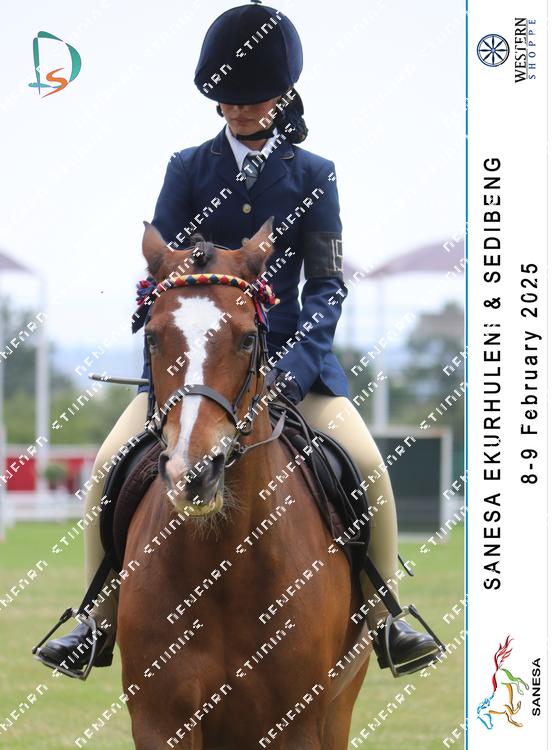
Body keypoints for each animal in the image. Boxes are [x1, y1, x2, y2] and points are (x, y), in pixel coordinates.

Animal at [117, 220, 370, 749]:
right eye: (152, 337)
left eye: (248, 339)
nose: (194, 473)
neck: (224, 559)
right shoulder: (160, 720)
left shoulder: (296, 723)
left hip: (338, 706)